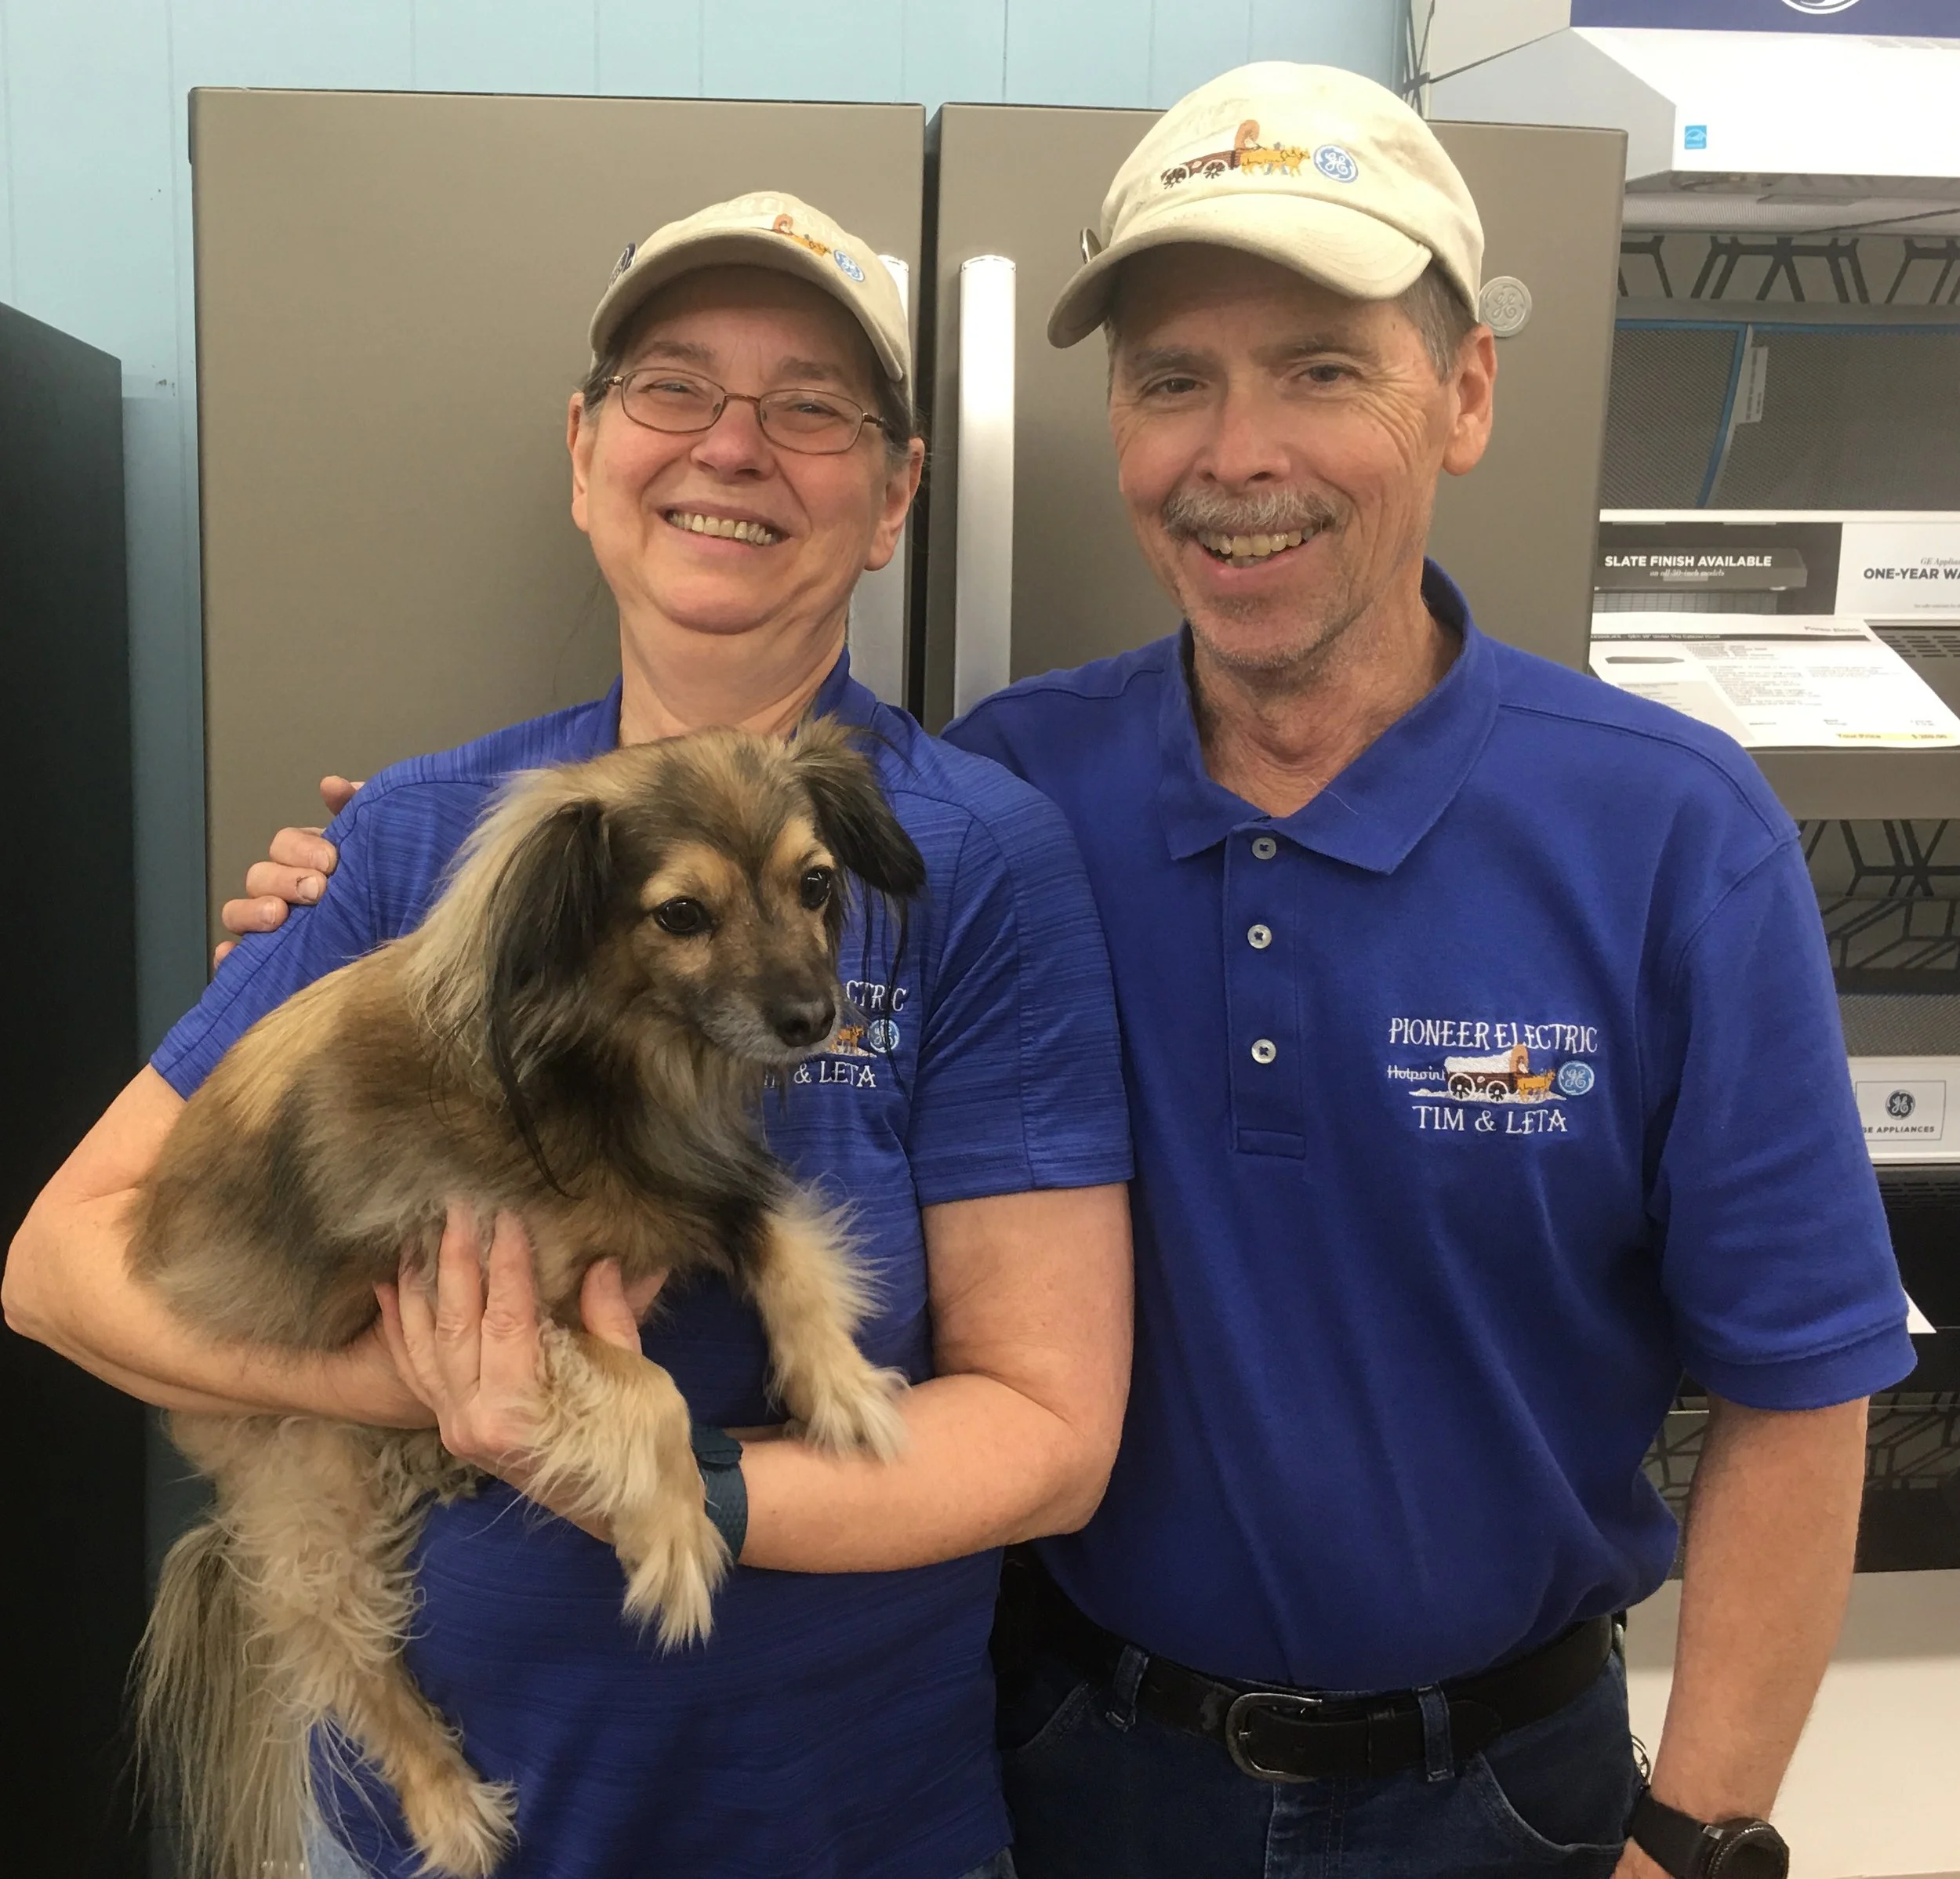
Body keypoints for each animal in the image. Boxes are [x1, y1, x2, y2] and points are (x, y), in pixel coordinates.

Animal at [129, 717, 925, 1879]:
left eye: (816, 883)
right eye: (681, 915)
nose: (813, 1018)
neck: (611, 1068)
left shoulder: (695, 1190)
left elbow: (789, 1250)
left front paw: (844, 1384)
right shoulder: (478, 1286)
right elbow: (646, 1391)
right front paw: (676, 1532)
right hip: (311, 1510)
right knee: (350, 1666)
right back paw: (446, 1800)